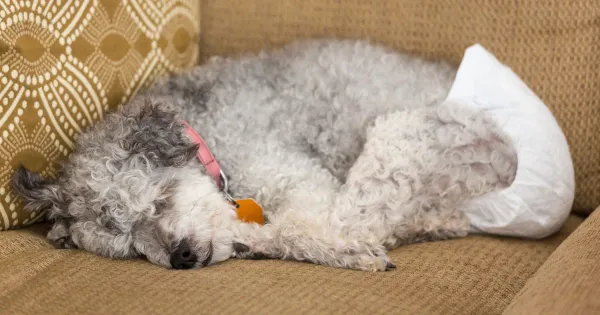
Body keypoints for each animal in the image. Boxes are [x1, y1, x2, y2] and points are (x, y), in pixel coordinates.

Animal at [10, 39, 516, 272]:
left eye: (160, 201)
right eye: (132, 248)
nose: (181, 257)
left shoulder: (295, 176)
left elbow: (296, 227)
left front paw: (348, 248)